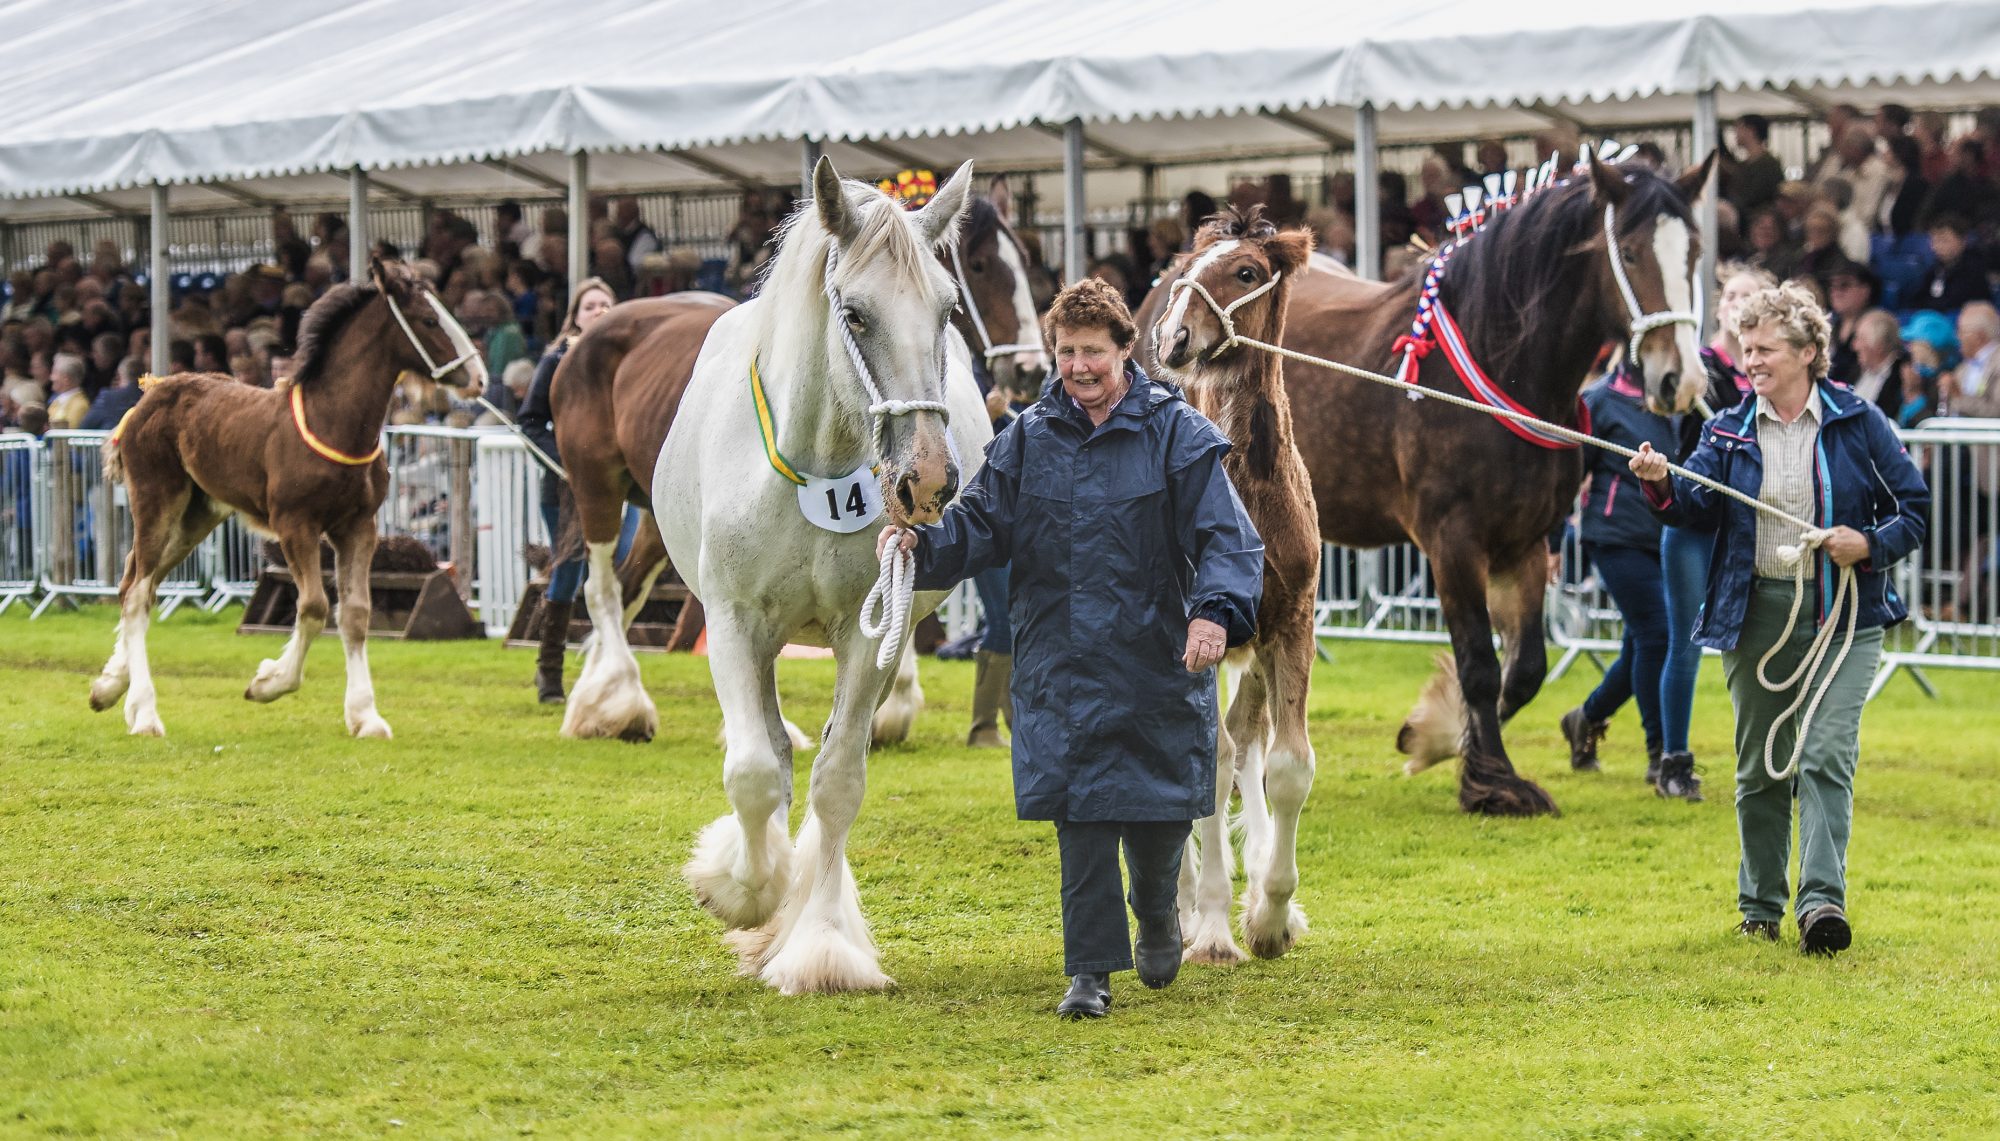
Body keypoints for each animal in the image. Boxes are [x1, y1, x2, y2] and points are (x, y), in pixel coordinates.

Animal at [92, 255, 490, 736]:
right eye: (429, 320)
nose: (479, 380)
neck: (332, 422)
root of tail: (147, 396)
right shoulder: (295, 525)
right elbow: (315, 606)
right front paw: (268, 682)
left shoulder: (358, 526)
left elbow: (355, 613)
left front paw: (366, 716)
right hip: (157, 500)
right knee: (136, 593)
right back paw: (145, 712)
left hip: (196, 516)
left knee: (138, 582)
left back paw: (110, 688)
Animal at [1136, 151, 1712, 812]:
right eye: (1634, 253)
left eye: (1695, 251)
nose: (1680, 380)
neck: (1498, 366)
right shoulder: (1452, 540)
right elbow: (1480, 664)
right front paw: (1491, 780)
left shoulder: (1527, 543)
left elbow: (1525, 668)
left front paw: (1437, 737)